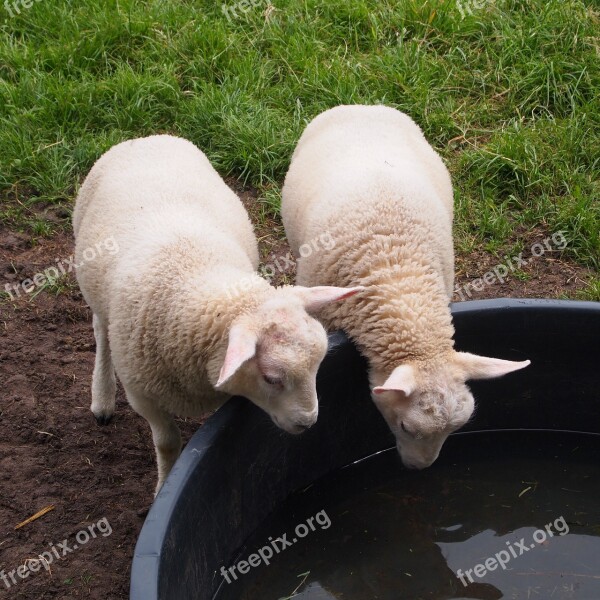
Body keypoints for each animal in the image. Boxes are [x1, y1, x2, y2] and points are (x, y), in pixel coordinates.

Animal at [72, 135, 358, 492]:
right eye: (271, 378)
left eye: (319, 365)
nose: (308, 422)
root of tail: (147, 137)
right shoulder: (144, 397)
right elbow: (167, 444)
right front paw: (163, 488)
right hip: (93, 287)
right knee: (100, 330)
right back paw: (102, 399)